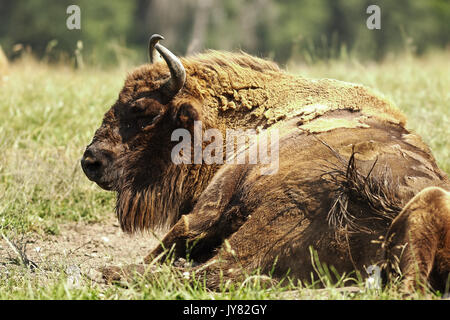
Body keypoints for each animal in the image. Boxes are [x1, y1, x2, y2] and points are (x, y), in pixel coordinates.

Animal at [81, 35, 450, 292]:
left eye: (144, 111)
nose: (90, 161)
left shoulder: (213, 202)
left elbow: (178, 234)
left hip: (275, 215)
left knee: (217, 269)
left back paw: (114, 272)